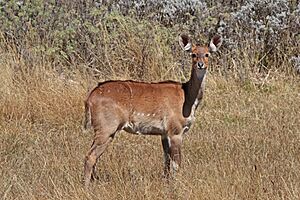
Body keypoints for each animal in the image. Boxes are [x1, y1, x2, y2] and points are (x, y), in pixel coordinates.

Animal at [83, 34, 221, 186]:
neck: (188, 98)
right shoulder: (175, 130)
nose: (200, 64)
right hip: (107, 127)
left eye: (207, 54)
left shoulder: (164, 133)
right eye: (193, 54)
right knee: (90, 156)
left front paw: (166, 182)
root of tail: (89, 98)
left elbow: (166, 160)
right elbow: (176, 163)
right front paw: (176, 184)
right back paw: (86, 186)